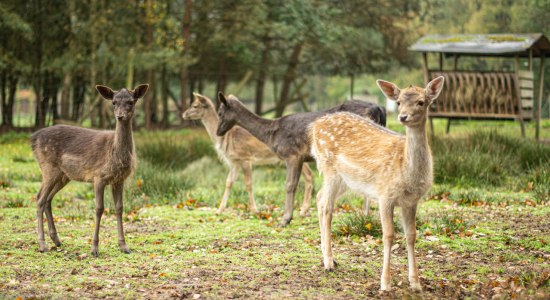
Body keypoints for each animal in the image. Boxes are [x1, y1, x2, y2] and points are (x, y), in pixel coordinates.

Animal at [31, 84, 149, 255]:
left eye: (131, 102)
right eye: (114, 102)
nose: (120, 116)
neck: (114, 153)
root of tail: (32, 139)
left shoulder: (119, 180)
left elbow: (119, 208)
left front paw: (124, 246)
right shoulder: (98, 177)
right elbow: (99, 208)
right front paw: (94, 248)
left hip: (63, 176)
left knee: (47, 199)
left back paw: (57, 240)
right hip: (48, 168)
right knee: (39, 198)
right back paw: (42, 245)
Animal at [183, 92, 314, 214]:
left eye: (195, 105)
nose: (183, 114)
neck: (225, 138)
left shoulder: (245, 157)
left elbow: (248, 183)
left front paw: (254, 209)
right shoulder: (234, 161)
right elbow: (228, 182)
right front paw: (219, 210)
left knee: (309, 175)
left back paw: (303, 210)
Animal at [217, 92, 388, 226]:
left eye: (220, 112)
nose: (218, 132)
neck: (272, 136)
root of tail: (378, 109)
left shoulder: (292, 155)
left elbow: (289, 185)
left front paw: (285, 219)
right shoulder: (299, 157)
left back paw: (367, 216)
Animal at [310, 77, 444, 290]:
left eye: (421, 102)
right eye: (399, 102)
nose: (403, 117)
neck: (406, 172)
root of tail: (314, 126)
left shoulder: (411, 201)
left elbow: (411, 235)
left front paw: (415, 283)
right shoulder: (385, 195)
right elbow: (388, 235)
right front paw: (385, 283)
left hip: (345, 179)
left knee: (319, 197)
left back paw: (327, 257)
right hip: (329, 168)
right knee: (326, 206)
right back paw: (329, 262)